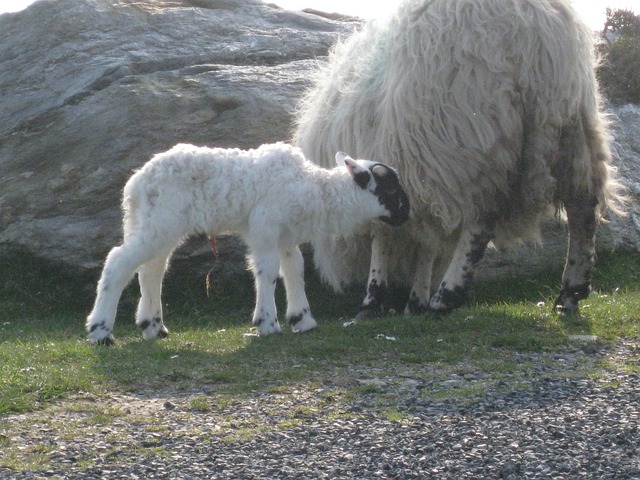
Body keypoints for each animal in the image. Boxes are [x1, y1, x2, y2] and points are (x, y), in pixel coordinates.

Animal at [86, 142, 410, 345]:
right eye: (391, 189)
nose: (407, 215)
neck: (314, 190)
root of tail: (135, 186)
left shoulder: (286, 236)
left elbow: (294, 270)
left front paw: (303, 320)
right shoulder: (264, 228)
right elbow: (267, 271)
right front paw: (267, 323)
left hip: (155, 225)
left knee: (151, 270)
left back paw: (153, 327)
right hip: (159, 223)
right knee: (119, 263)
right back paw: (101, 332)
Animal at [293, 0, 625, 318]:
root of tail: (533, 27)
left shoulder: (401, 176)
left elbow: (384, 239)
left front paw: (374, 300)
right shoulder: (416, 185)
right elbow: (426, 244)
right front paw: (414, 301)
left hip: (466, 138)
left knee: (481, 221)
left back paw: (446, 297)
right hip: (573, 125)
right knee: (583, 206)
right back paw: (571, 293)